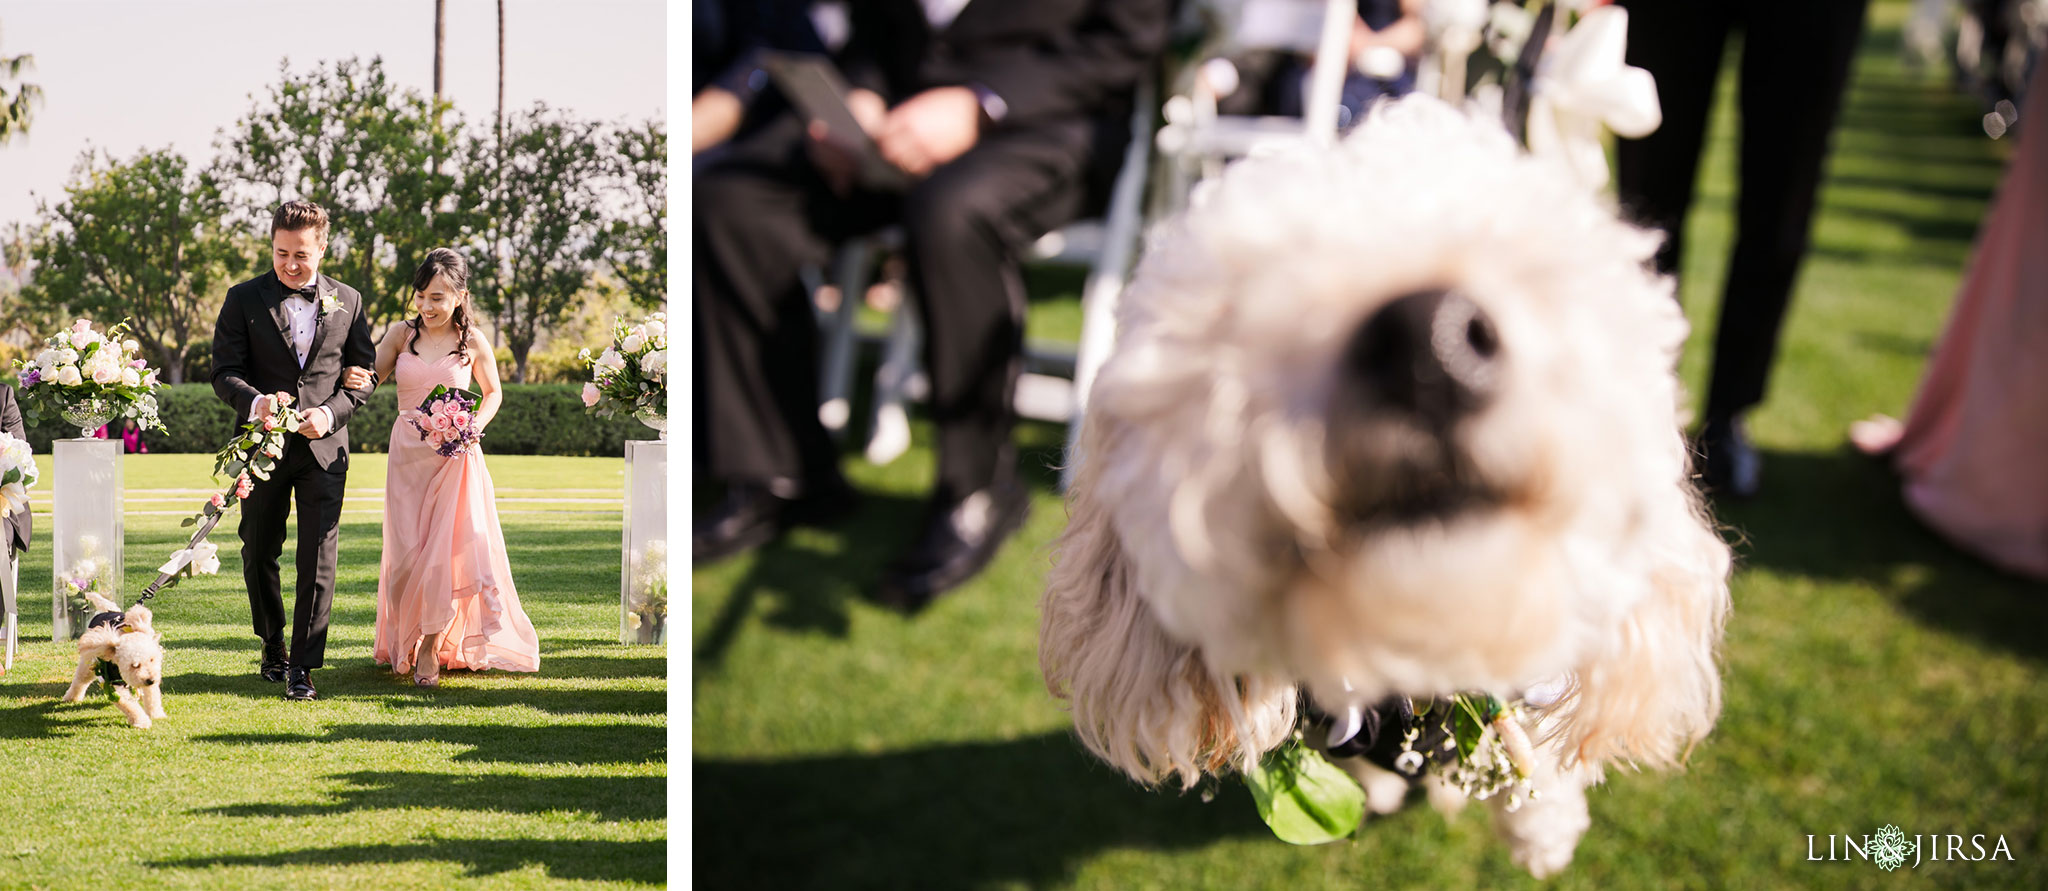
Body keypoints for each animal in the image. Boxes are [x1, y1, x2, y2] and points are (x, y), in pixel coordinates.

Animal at [61, 589, 167, 729]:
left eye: (152, 659)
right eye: (134, 665)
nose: (151, 680)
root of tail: (109, 609)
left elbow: (152, 697)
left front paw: (156, 714)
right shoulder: (113, 684)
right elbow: (129, 704)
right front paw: (141, 721)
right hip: (88, 665)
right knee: (81, 680)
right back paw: (71, 697)